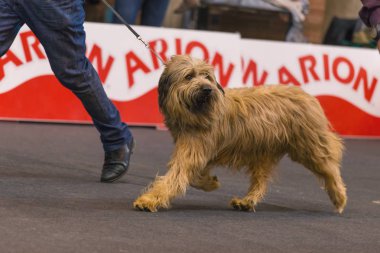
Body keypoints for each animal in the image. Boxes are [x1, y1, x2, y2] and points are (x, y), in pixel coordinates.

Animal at [134, 55, 348, 213]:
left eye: (207, 76)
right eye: (189, 76)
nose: (207, 89)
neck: (196, 112)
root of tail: (308, 96)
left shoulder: (194, 149)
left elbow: (176, 176)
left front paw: (148, 200)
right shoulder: (197, 148)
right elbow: (192, 175)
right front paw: (211, 182)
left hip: (309, 144)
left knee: (329, 166)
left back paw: (339, 196)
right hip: (264, 152)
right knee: (261, 181)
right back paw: (246, 201)